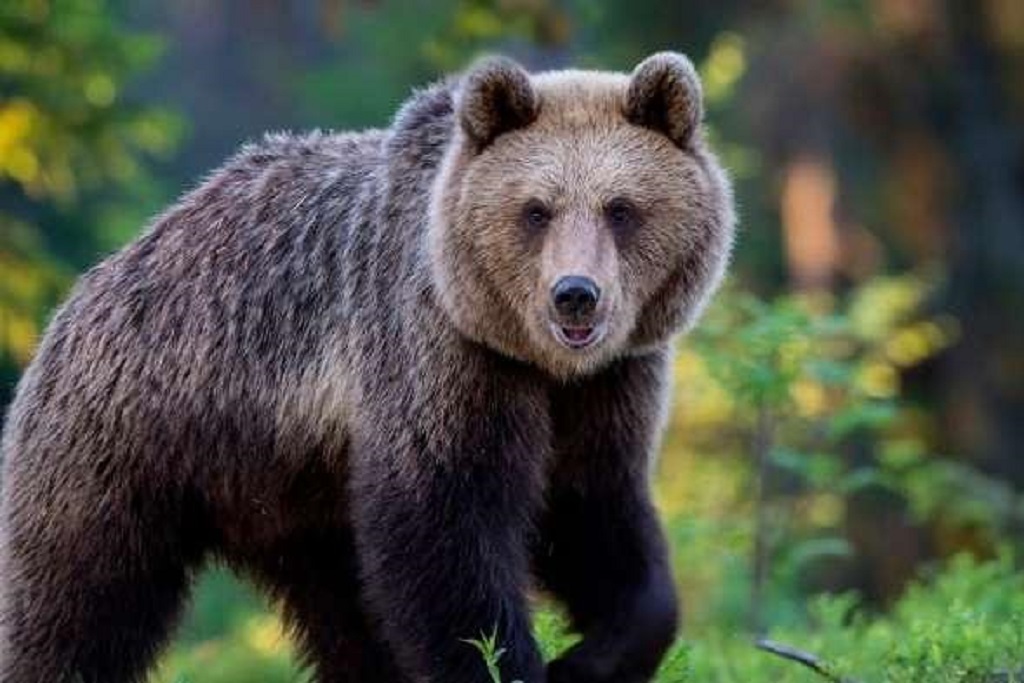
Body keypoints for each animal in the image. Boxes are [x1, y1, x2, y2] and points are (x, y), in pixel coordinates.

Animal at [0, 52, 734, 683]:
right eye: (536, 210)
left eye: (621, 208)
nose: (576, 294)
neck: (539, 361)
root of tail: (86, 290)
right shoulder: (441, 356)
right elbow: (444, 535)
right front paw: (510, 661)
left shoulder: (607, 384)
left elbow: (596, 516)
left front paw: (590, 656)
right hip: (127, 443)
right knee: (75, 601)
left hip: (300, 507)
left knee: (348, 619)